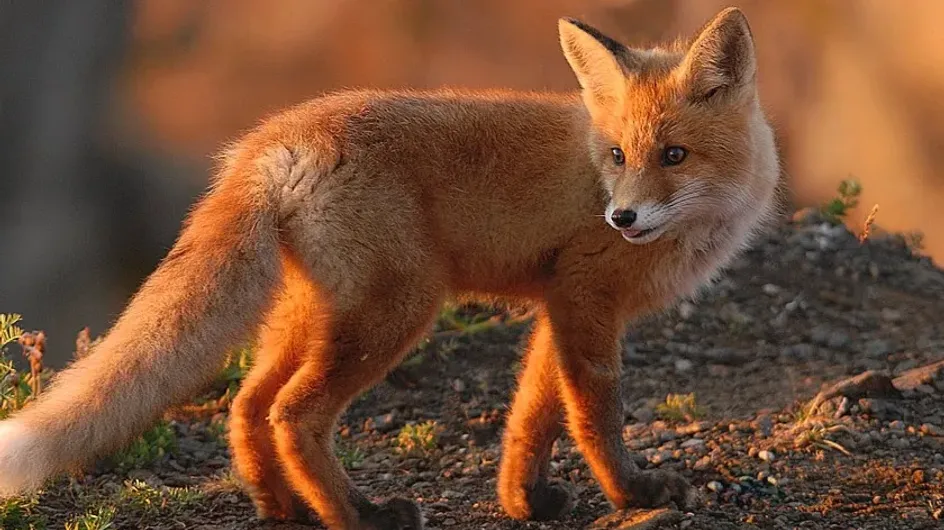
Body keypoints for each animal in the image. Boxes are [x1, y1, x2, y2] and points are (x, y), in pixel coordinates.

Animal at [0, 8, 780, 528]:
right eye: (617, 155)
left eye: (673, 155)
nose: (621, 218)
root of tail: (273, 138)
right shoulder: (585, 297)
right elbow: (595, 414)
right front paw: (631, 495)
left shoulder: (557, 304)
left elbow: (532, 415)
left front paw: (524, 499)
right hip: (397, 311)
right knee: (293, 414)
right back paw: (358, 515)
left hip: (313, 314)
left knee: (248, 405)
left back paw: (284, 508)